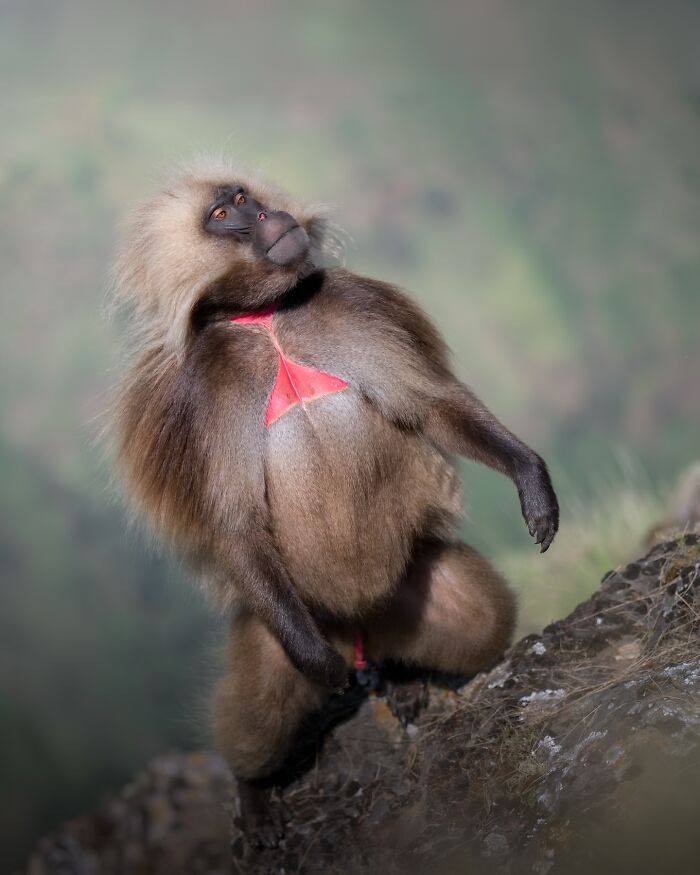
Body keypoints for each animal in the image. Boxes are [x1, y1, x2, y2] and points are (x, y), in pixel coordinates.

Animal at [110, 157, 559, 848]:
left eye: (244, 198)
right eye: (223, 214)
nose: (268, 216)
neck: (267, 321)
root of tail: (359, 630)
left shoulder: (348, 315)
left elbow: (430, 408)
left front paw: (532, 481)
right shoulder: (208, 388)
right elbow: (236, 526)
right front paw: (320, 678)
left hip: (408, 592)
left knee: (476, 616)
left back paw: (405, 680)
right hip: (283, 616)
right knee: (266, 701)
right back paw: (255, 792)